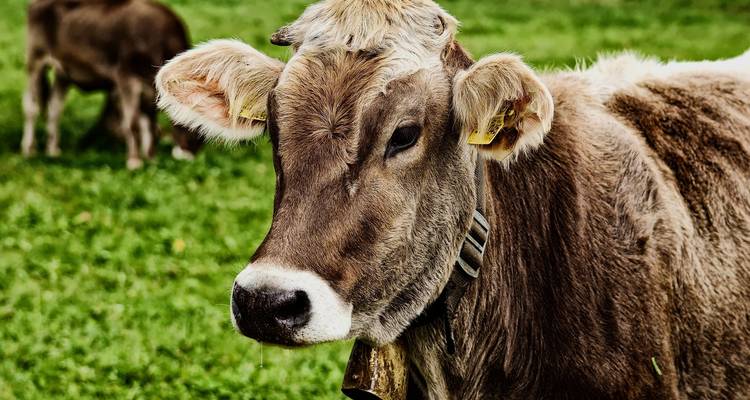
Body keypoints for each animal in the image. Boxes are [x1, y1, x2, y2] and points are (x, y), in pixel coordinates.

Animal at [23, 0, 203, 169]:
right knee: (31, 107)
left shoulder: (149, 89)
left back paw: (52, 150)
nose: (190, 155)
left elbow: (149, 124)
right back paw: (29, 149)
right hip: (36, 60)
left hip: (63, 72)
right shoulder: (126, 79)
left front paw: (151, 159)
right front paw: (134, 161)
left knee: (55, 108)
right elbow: (133, 123)